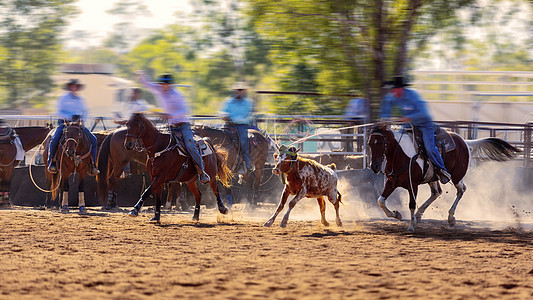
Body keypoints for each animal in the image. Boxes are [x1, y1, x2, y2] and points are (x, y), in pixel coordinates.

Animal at [368, 122, 520, 232]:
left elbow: (411, 204)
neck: (400, 155)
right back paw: (420, 214)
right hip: (433, 178)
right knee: (436, 192)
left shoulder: (413, 185)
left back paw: (451, 217)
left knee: (461, 190)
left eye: (381, 143)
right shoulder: (391, 182)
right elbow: (381, 201)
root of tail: (465, 142)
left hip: (457, 176)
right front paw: (397, 214)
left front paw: (411, 226)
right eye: (369, 143)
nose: (374, 166)